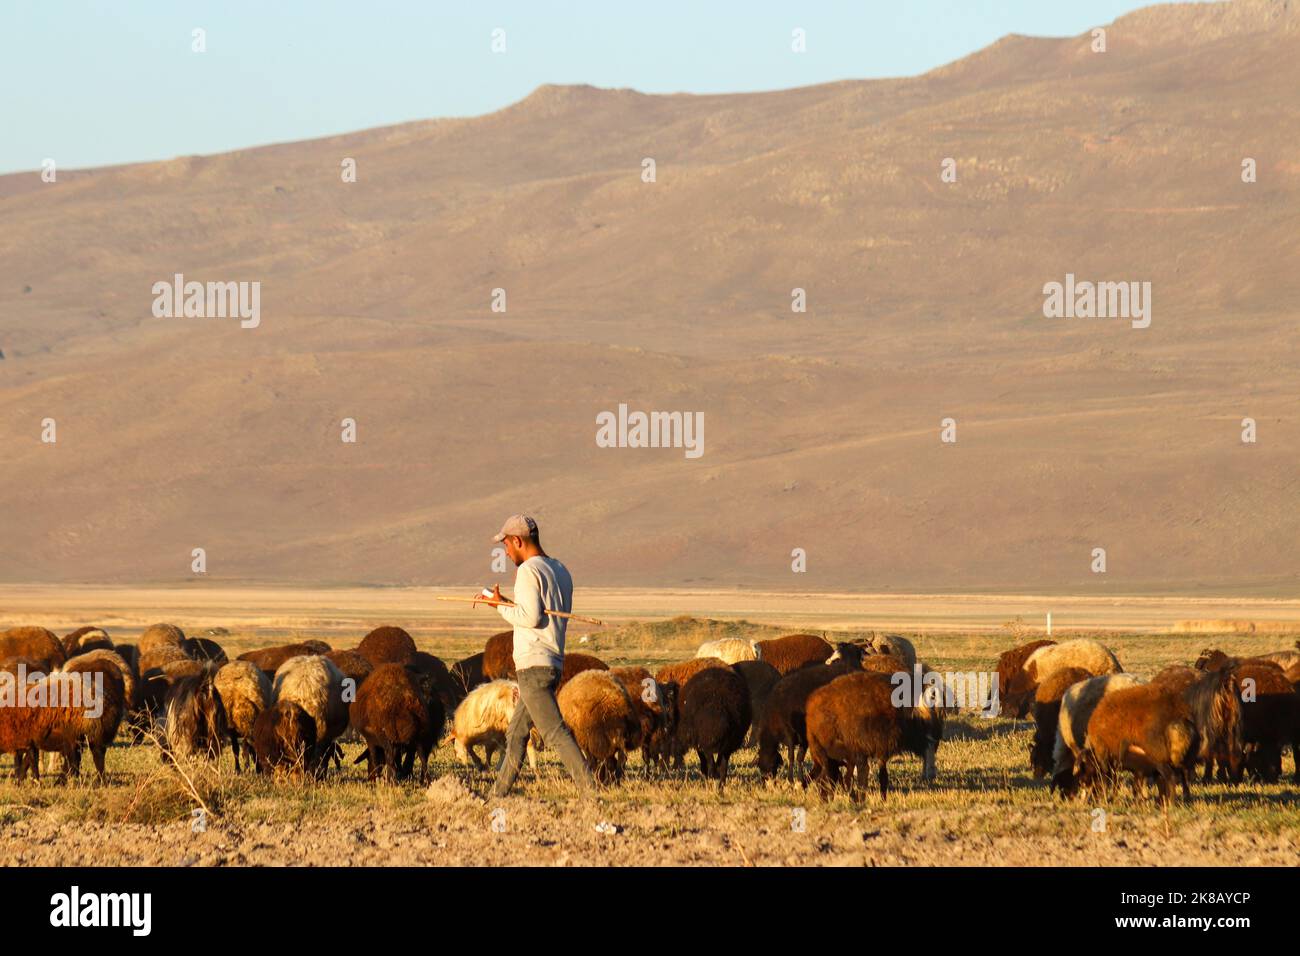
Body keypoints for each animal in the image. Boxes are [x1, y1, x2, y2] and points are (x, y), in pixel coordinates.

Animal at [351, 660, 447, 790]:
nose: (369, 778)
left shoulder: (373, 740)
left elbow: (378, 758)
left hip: (390, 737)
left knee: (392, 759)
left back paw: (392, 781)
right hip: (423, 737)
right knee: (422, 760)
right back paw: (424, 782)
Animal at [759, 642, 868, 785]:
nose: (766, 782)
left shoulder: (790, 734)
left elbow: (791, 756)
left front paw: (791, 780)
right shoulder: (803, 736)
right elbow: (799, 757)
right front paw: (800, 780)